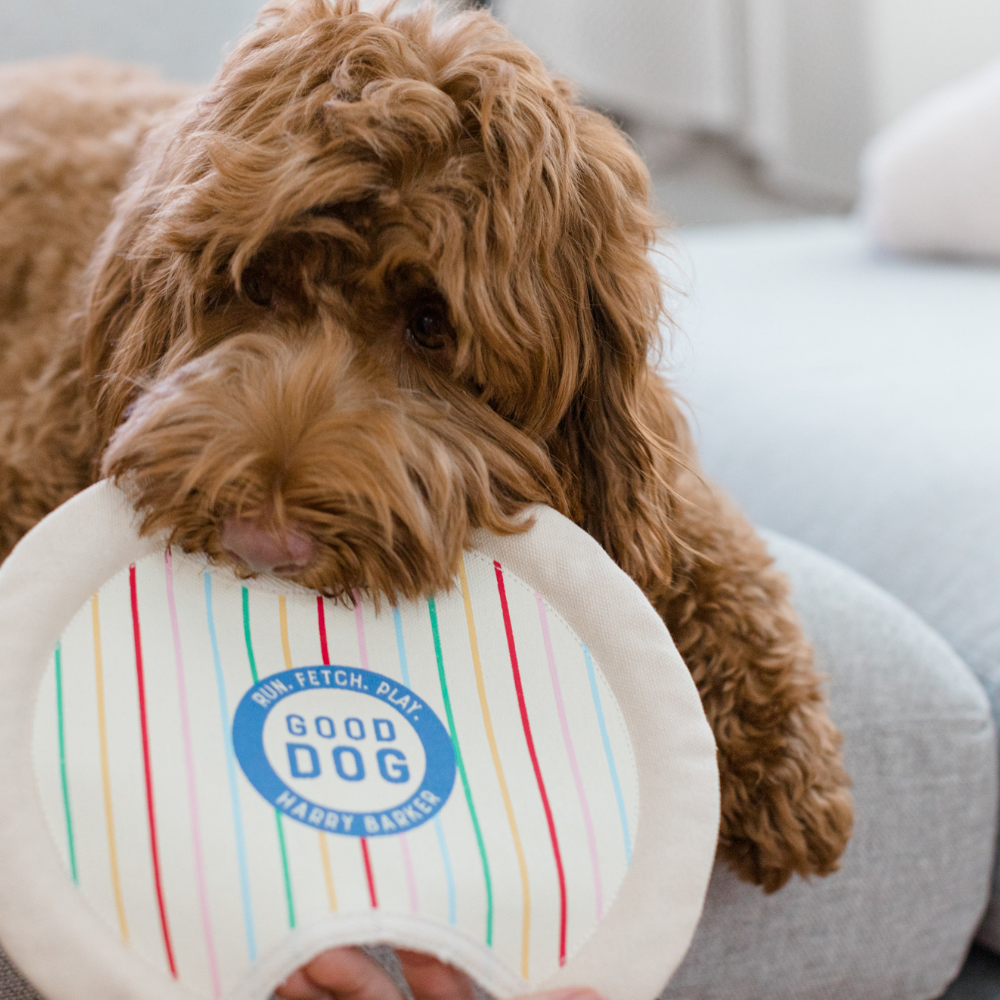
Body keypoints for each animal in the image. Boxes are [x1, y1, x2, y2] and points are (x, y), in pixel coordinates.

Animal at [0, 0, 852, 984]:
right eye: (253, 285)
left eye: (430, 324)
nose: (263, 536)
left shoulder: (656, 479)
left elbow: (719, 560)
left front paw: (790, 767)